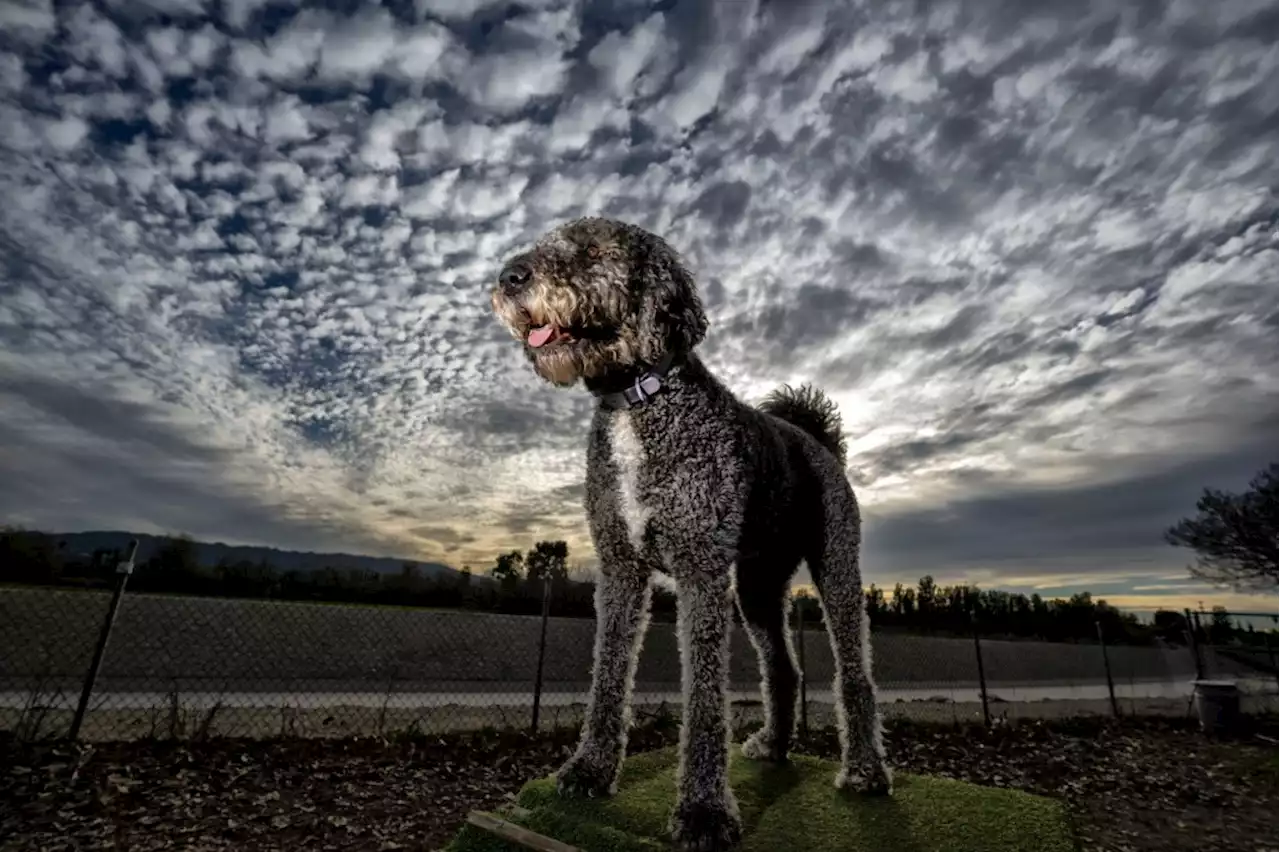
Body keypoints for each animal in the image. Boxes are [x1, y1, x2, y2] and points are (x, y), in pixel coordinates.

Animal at [488, 217, 890, 844]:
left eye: (596, 250)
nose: (511, 276)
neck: (638, 402)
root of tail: (818, 440)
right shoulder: (620, 571)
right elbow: (609, 675)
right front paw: (590, 770)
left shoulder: (700, 573)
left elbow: (704, 698)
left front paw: (704, 811)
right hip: (757, 586)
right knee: (783, 667)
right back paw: (774, 747)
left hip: (836, 571)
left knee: (855, 673)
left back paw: (866, 772)